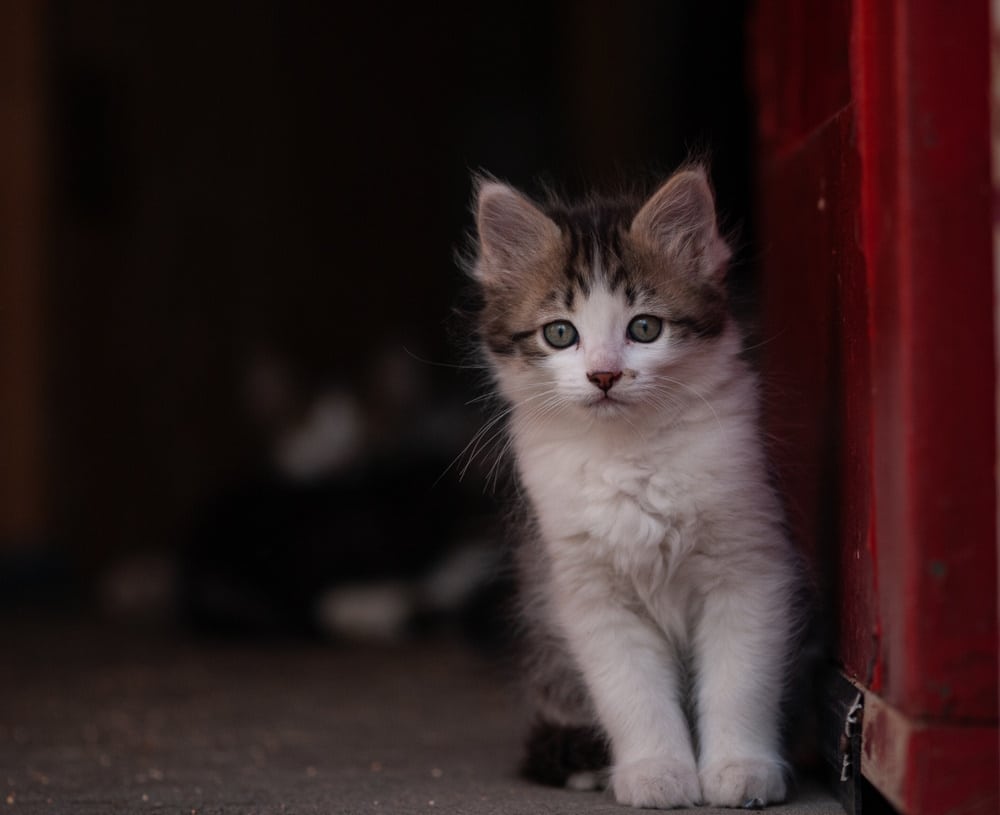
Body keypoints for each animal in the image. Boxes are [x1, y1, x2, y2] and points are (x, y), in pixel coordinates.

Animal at [470, 167, 804, 808]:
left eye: (644, 328)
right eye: (560, 334)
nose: (604, 374)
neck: (630, 454)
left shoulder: (749, 567)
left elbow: (740, 683)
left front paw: (741, 768)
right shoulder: (588, 592)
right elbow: (632, 695)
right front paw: (656, 771)